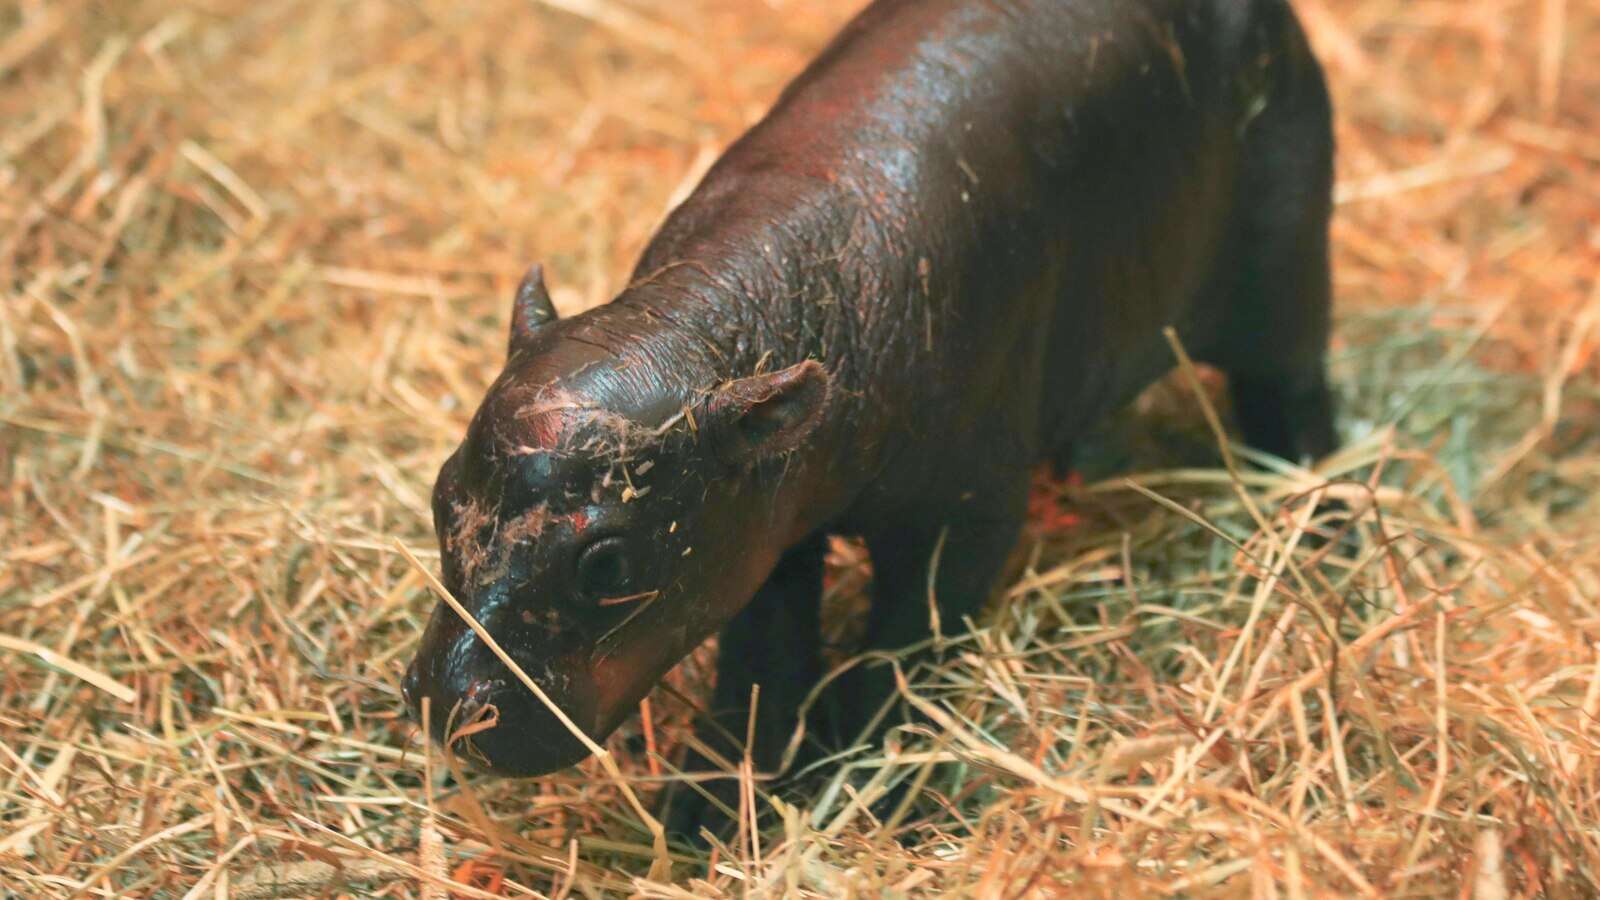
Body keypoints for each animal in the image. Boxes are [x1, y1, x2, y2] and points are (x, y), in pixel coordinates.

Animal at [400, 0, 1337, 832]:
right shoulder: (765, 527)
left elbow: (900, 649)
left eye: (606, 561)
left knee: (1294, 395)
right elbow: (761, 661)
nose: (448, 705)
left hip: (1286, 275)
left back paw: (1319, 526)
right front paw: (704, 814)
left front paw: (853, 788)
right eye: (442, 495)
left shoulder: (964, 517)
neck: (702, 327)